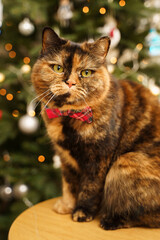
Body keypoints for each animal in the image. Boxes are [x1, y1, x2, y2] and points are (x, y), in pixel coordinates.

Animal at [31, 26, 160, 231]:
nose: (70, 82)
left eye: (85, 73)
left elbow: (89, 188)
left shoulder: (99, 157)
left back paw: (110, 220)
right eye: (58, 68)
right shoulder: (65, 157)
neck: (69, 118)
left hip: (125, 161)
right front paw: (67, 205)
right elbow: (69, 183)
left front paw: (82, 212)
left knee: (146, 215)